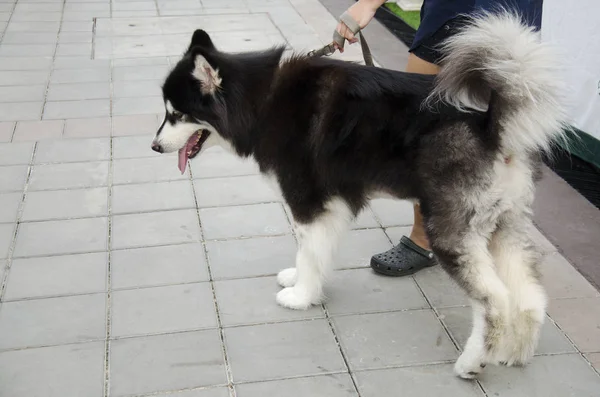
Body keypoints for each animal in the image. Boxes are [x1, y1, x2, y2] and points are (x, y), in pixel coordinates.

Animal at [151, 11, 568, 378]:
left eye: (177, 114)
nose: (154, 147)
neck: (261, 99)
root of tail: (489, 124)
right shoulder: (328, 206)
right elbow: (311, 251)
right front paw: (299, 279)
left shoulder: (307, 201)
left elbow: (308, 249)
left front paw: (300, 296)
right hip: (503, 226)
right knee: (531, 296)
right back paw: (517, 354)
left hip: (451, 231)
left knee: (496, 301)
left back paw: (473, 362)